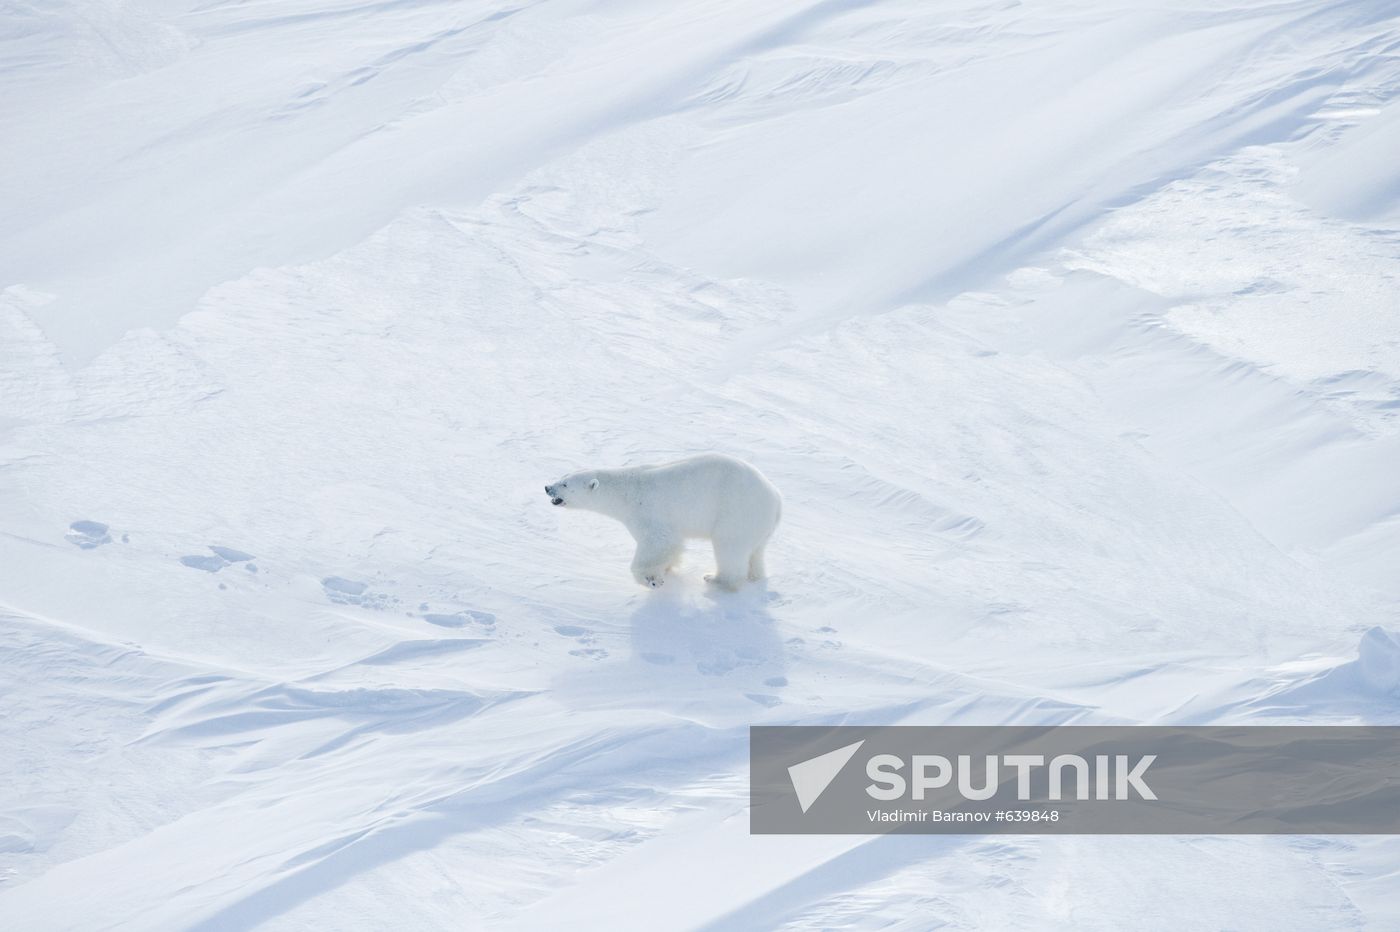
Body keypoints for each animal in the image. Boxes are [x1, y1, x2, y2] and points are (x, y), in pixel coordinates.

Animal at [545, 453, 781, 590]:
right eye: (562, 476)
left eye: (565, 484)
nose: (548, 487)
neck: (625, 492)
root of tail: (776, 499)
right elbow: (671, 549)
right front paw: (666, 569)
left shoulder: (648, 512)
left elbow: (658, 543)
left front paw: (652, 579)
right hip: (758, 524)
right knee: (756, 552)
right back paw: (755, 577)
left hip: (737, 513)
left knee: (729, 547)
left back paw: (715, 579)